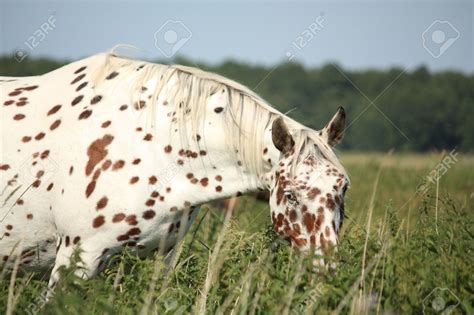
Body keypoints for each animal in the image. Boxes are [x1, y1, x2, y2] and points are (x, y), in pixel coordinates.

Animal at [0, 50, 348, 292]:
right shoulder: (77, 257)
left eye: (342, 189)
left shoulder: (158, 258)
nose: (328, 269)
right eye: (290, 195)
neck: (151, 146)